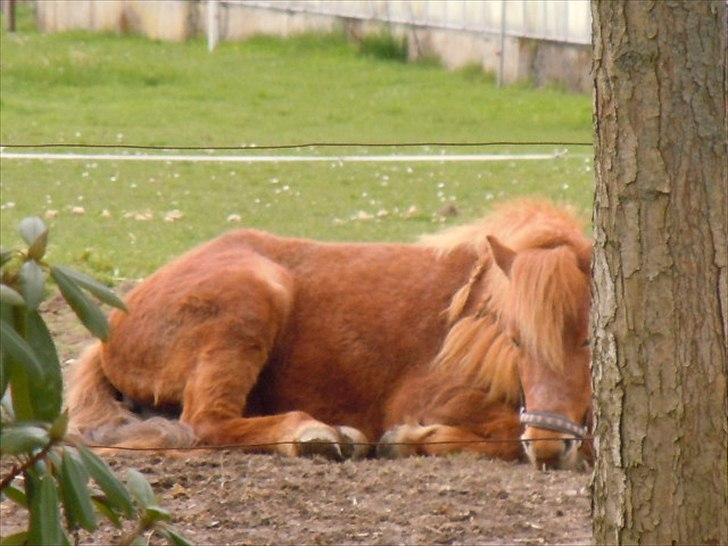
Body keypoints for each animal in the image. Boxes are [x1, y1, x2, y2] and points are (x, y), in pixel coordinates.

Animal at [67, 199, 592, 468]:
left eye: (590, 340)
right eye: (517, 339)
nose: (549, 445)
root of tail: (114, 321)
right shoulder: (431, 399)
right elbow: (501, 434)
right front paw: (409, 438)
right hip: (251, 299)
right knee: (206, 424)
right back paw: (314, 433)